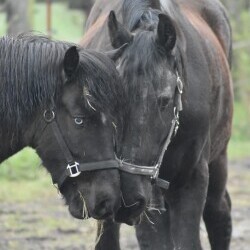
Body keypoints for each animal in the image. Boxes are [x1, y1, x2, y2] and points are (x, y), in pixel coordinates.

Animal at [83, 0, 232, 249]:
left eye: (164, 99)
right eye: (112, 98)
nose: (127, 197)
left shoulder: (192, 178)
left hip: (219, 157)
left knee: (218, 211)